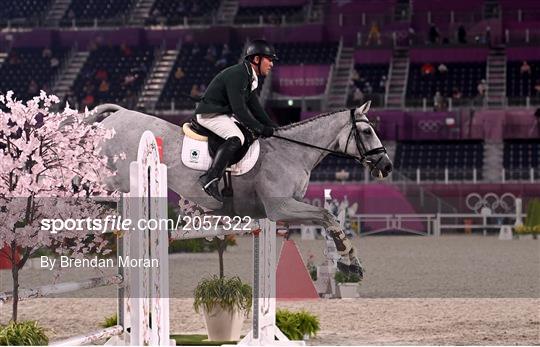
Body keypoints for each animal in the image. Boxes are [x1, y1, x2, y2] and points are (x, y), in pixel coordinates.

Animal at [93, 101, 392, 278]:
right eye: (367, 132)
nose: (386, 166)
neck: (292, 152)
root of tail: (118, 115)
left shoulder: (285, 209)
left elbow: (327, 219)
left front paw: (351, 262)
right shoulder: (281, 208)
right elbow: (328, 217)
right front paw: (349, 263)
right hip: (111, 178)